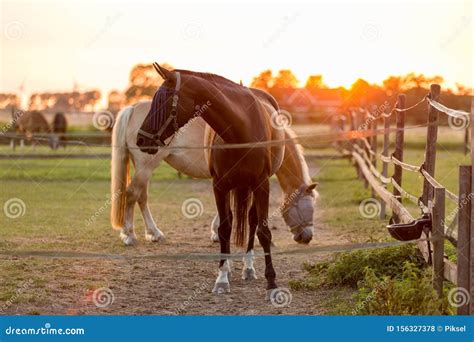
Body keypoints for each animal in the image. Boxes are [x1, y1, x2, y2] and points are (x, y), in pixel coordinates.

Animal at [111, 101, 318, 246]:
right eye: (305, 207)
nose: (307, 237)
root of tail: (134, 107)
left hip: (143, 167)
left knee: (141, 197)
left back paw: (154, 233)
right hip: (146, 166)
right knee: (132, 194)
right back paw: (129, 235)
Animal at [134, 64, 292, 296]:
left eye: (163, 101)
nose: (141, 139)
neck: (240, 129)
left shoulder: (261, 185)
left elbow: (263, 231)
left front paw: (271, 281)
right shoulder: (219, 185)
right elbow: (224, 229)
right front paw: (222, 278)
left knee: (252, 220)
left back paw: (249, 267)